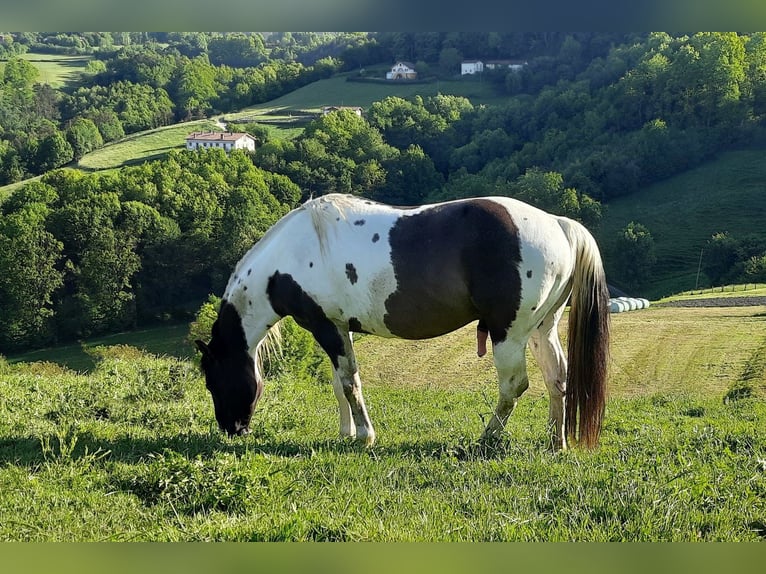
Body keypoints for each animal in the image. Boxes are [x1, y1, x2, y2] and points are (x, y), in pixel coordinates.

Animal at [195, 193, 610, 451]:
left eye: (213, 381)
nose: (232, 430)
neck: (292, 257)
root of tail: (558, 224)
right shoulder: (336, 329)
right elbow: (339, 384)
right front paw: (346, 432)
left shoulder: (328, 328)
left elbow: (350, 384)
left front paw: (364, 436)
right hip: (541, 329)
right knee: (557, 378)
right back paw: (555, 442)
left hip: (508, 333)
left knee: (513, 386)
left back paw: (487, 439)